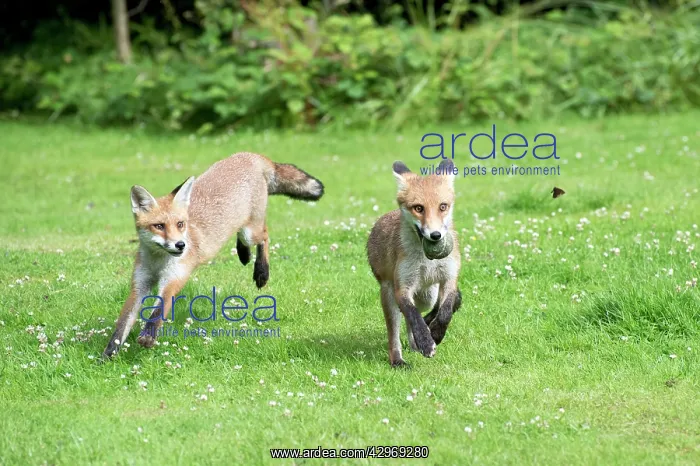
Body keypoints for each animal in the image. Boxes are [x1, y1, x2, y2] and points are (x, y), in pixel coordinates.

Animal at [102, 152, 324, 359]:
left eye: (180, 224)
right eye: (159, 226)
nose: (181, 245)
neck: (158, 260)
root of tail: (250, 154)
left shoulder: (173, 278)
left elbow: (159, 309)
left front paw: (148, 337)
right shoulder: (140, 283)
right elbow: (122, 323)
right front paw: (108, 354)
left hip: (251, 232)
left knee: (265, 235)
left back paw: (261, 272)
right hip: (244, 228)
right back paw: (244, 254)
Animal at [367, 159, 462, 367]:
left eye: (443, 206)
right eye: (418, 208)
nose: (435, 235)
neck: (428, 262)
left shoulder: (449, 279)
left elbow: (445, 312)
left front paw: (436, 334)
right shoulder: (402, 287)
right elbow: (412, 315)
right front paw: (426, 342)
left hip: (428, 296)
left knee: (424, 311)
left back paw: (416, 342)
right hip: (389, 295)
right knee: (398, 328)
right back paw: (398, 360)